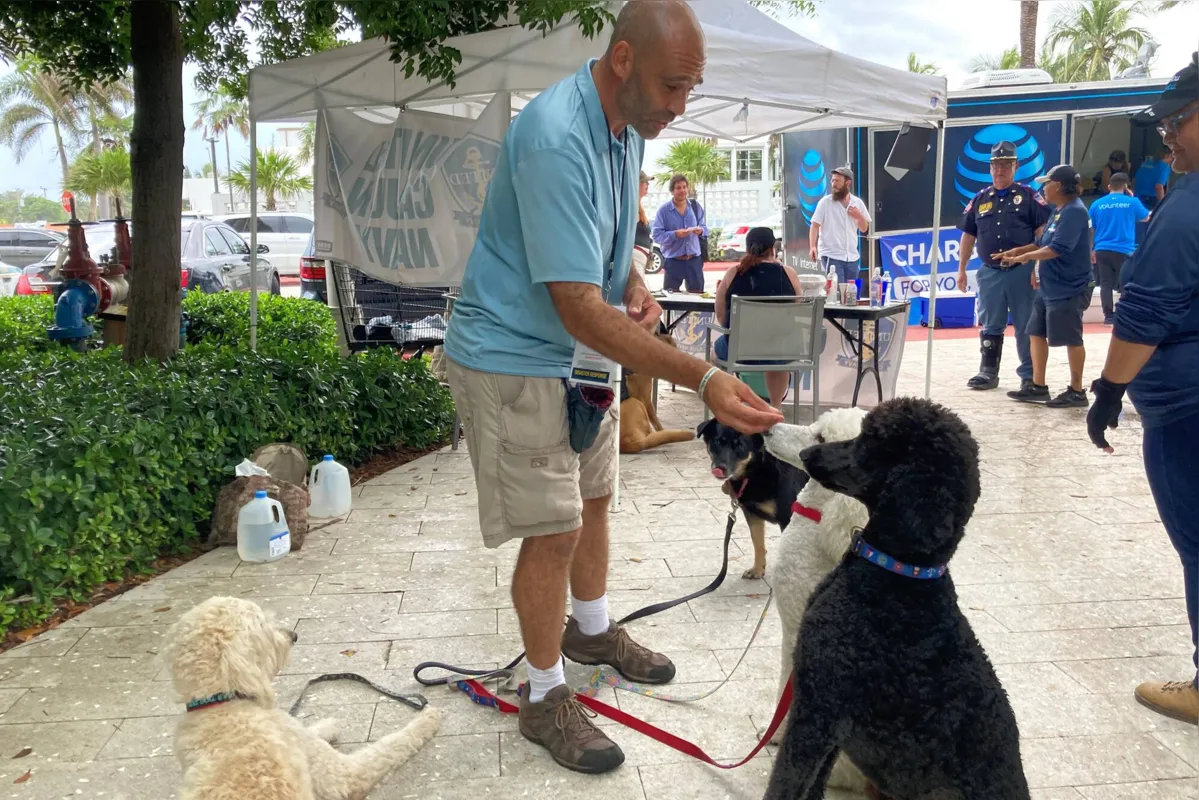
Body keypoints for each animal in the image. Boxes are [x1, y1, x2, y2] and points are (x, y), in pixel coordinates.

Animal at [161, 597, 438, 800]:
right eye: (264, 625)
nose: (293, 635)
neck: (219, 702)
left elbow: (308, 729)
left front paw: (327, 725)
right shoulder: (339, 774)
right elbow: (393, 745)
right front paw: (427, 720)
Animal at [695, 417, 805, 578]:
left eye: (740, 445)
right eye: (717, 442)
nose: (720, 468)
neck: (755, 470)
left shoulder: (788, 518)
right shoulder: (752, 515)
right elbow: (758, 543)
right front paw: (758, 569)